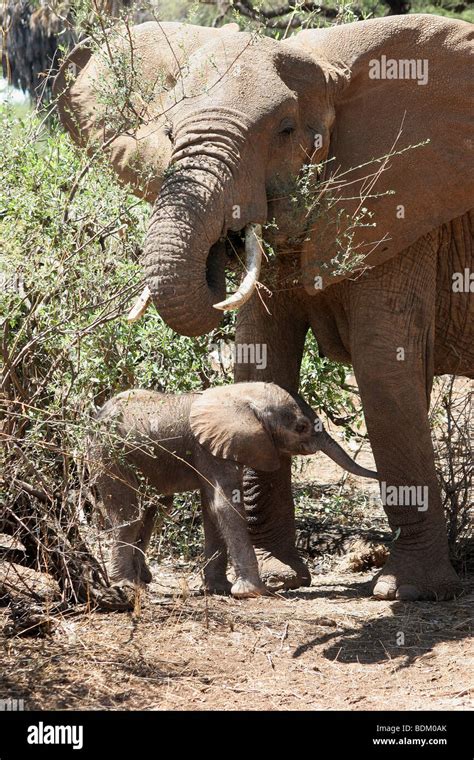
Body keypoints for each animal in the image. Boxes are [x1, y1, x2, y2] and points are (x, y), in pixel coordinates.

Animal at [89, 380, 378, 600]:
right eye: (301, 428)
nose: (377, 474)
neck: (239, 394)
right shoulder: (209, 448)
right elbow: (223, 505)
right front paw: (253, 592)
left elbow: (211, 509)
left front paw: (219, 589)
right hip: (111, 456)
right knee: (130, 514)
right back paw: (128, 585)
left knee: (155, 510)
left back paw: (143, 578)